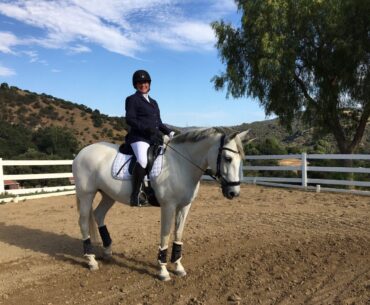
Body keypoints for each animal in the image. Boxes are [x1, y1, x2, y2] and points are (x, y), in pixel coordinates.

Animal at [71, 126, 251, 280]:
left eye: (241, 159)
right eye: (228, 158)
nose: (233, 193)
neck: (181, 165)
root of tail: (82, 152)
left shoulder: (184, 206)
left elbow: (178, 234)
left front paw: (178, 267)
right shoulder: (168, 206)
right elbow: (165, 235)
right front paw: (163, 271)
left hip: (108, 195)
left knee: (98, 215)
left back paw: (107, 251)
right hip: (86, 195)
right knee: (83, 222)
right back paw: (91, 261)